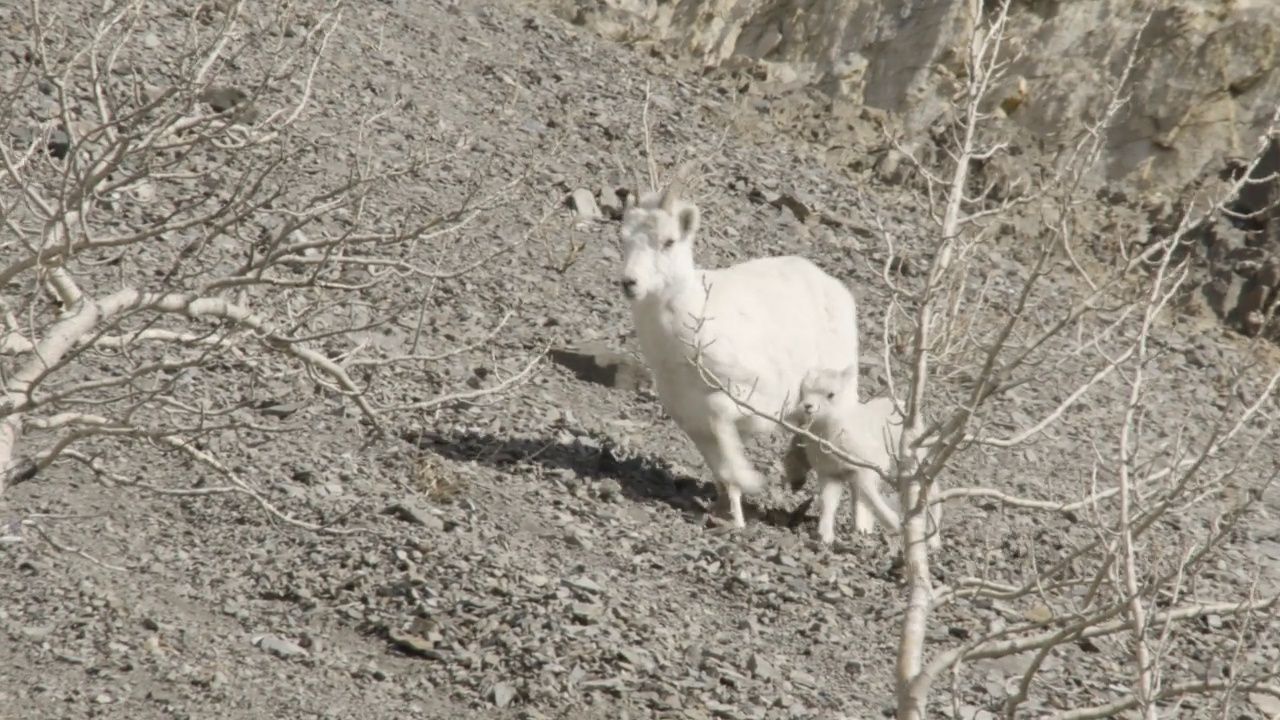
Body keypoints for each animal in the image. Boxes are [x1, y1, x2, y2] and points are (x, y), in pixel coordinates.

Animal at [616, 181, 860, 525]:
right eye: (624, 237)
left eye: (669, 241)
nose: (630, 283)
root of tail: (833, 287)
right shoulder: (693, 422)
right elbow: (721, 467)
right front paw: (730, 514)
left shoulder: (750, 399)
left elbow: (721, 421)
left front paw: (751, 483)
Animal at [783, 361, 947, 545]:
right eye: (803, 391)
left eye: (831, 394)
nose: (808, 406)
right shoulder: (830, 474)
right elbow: (829, 503)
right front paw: (825, 537)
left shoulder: (866, 468)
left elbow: (868, 493)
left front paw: (894, 524)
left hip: (911, 464)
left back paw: (933, 542)